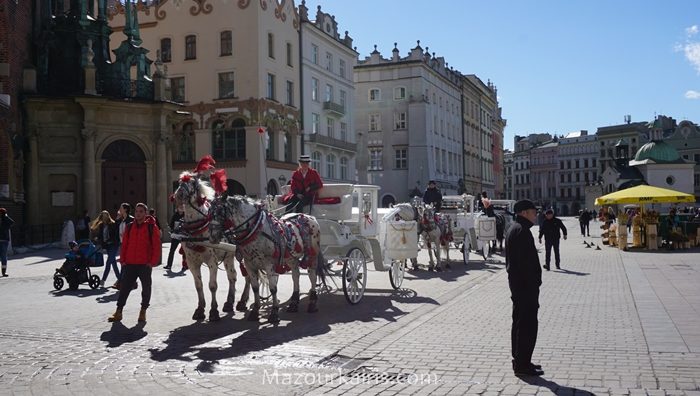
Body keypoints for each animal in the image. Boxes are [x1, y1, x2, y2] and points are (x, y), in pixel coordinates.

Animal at [173, 172, 247, 322]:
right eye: (179, 183)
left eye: (193, 183)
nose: (179, 195)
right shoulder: (191, 262)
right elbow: (198, 286)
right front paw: (200, 309)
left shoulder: (212, 261)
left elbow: (212, 286)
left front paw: (213, 311)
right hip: (229, 256)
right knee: (233, 276)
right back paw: (229, 302)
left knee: (249, 277)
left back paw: (243, 301)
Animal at [208, 194, 326, 322]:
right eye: (209, 212)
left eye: (220, 212)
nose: (212, 237)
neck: (256, 230)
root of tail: (309, 216)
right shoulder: (249, 264)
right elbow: (255, 288)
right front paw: (255, 311)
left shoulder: (269, 265)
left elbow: (273, 288)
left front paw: (274, 313)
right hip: (291, 259)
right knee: (296, 275)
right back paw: (294, 303)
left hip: (312, 255)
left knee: (312, 276)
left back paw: (312, 303)